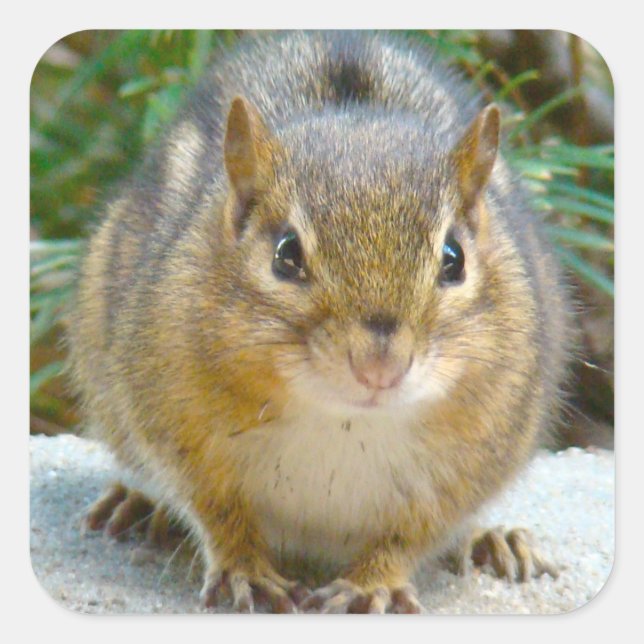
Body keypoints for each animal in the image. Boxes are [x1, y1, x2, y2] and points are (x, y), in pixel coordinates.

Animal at [69, 31, 573, 613]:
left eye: (455, 259)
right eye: (286, 254)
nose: (380, 367)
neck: (344, 421)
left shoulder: (477, 455)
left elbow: (412, 533)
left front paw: (373, 583)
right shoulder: (175, 423)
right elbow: (218, 511)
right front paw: (245, 569)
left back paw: (493, 540)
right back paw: (137, 503)